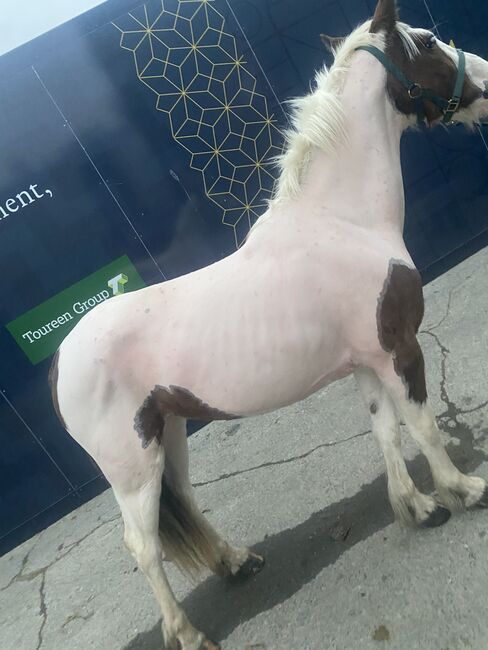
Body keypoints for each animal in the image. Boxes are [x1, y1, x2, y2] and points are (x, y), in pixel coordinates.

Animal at [49, 1, 488, 648]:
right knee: (143, 545)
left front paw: (417, 507)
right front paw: (462, 491)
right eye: (428, 41)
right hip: (132, 466)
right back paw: (188, 634)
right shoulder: (398, 350)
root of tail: (62, 357)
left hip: (170, 434)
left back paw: (236, 562)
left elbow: (385, 431)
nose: (485, 78)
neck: (344, 219)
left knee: (183, 501)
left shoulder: (365, 362)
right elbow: (424, 427)